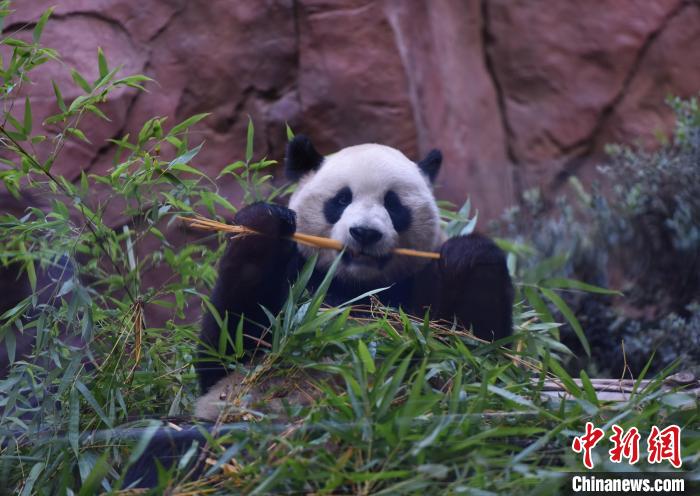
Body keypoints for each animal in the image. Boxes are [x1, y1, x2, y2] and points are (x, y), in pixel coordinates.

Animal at [121, 136, 516, 488]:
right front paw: (265, 224)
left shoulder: (414, 297)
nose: (365, 233)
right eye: (341, 199)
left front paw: (468, 255)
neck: (356, 287)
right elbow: (225, 352)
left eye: (393, 204)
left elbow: (480, 361)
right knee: (156, 442)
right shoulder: (296, 285)